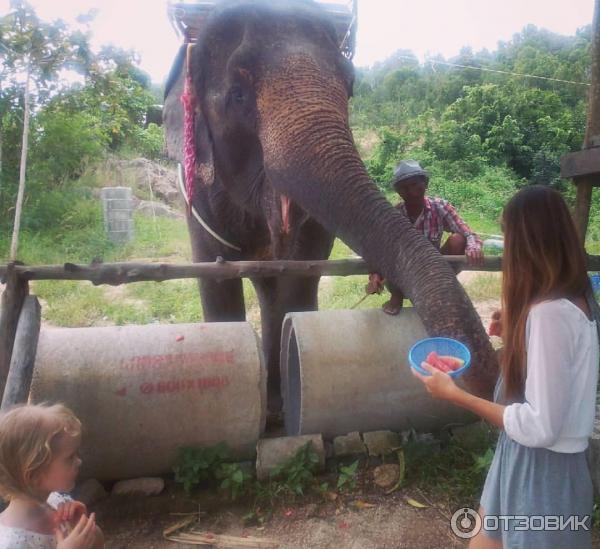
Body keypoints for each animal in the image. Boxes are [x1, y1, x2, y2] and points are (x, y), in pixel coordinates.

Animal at [163, 0, 496, 412]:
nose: (483, 378)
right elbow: (214, 277)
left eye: (350, 88)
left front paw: (285, 398)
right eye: (238, 95)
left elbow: (301, 277)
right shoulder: (196, 194)